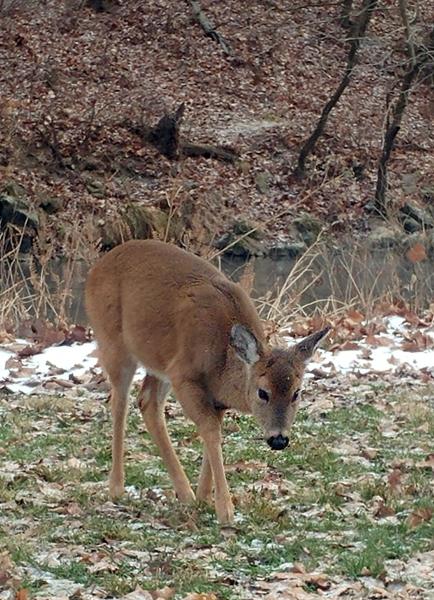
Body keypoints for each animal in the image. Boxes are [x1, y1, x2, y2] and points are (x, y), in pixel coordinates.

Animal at [85, 239, 328, 524]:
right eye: (262, 392)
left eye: (297, 392)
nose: (278, 440)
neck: (222, 360)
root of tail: (96, 268)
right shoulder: (184, 376)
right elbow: (211, 430)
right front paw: (225, 510)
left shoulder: (215, 396)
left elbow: (213, 429)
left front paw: (203, 497)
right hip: (114, 343)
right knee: (119, 403)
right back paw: (117, 488)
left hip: (158, 363)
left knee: (147, 402)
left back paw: (185, 494)